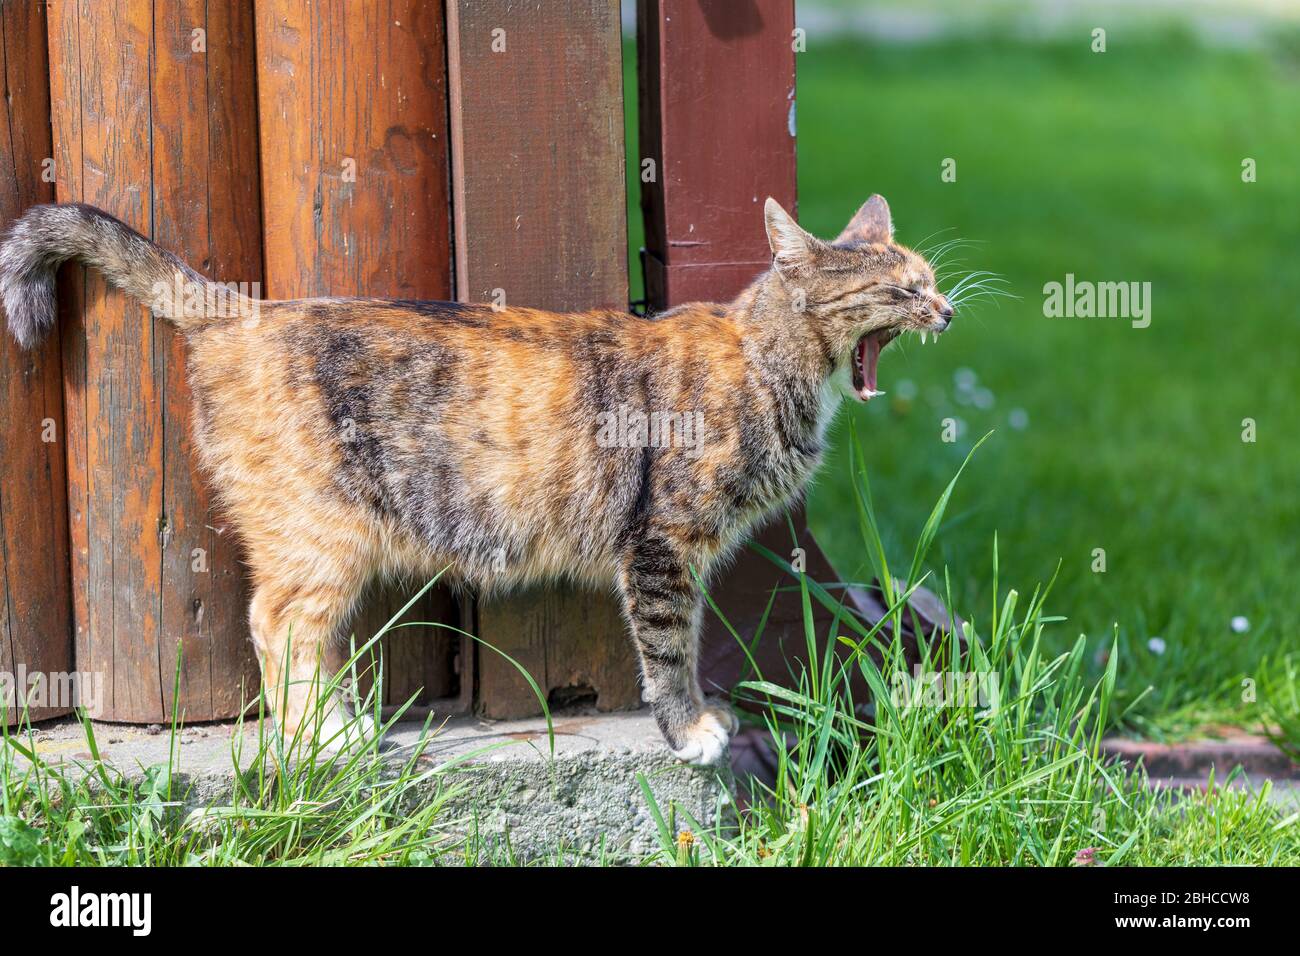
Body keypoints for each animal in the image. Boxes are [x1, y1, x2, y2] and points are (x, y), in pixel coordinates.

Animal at [0, 192, 956, 764]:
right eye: (901, 288)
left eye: (931, 280)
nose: (948, 311)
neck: (766, 358)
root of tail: (243, 309)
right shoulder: (662, 549)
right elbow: (671, 651)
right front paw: (691, 732)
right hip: (321, 535)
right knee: (276, 625)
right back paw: (324, 740)